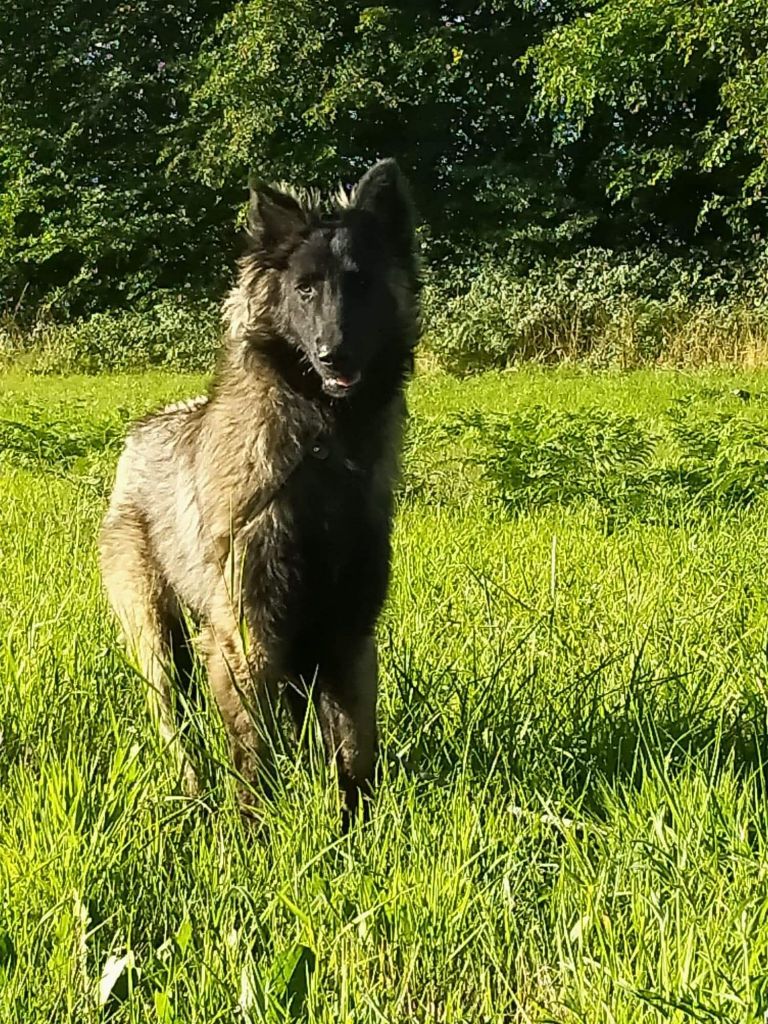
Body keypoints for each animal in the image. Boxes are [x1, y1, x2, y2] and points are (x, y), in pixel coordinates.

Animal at [98, 157, 421, 823]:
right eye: (304, 290)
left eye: (360, 284)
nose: (333, 353)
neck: (323, 446)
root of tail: (139, 434)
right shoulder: (245, 638)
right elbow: (255, 761)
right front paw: (257, 834)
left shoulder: (347, 634)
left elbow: (355, 753)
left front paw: (355, 832)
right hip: (157, 639)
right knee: (176, 730)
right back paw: (193, 797)